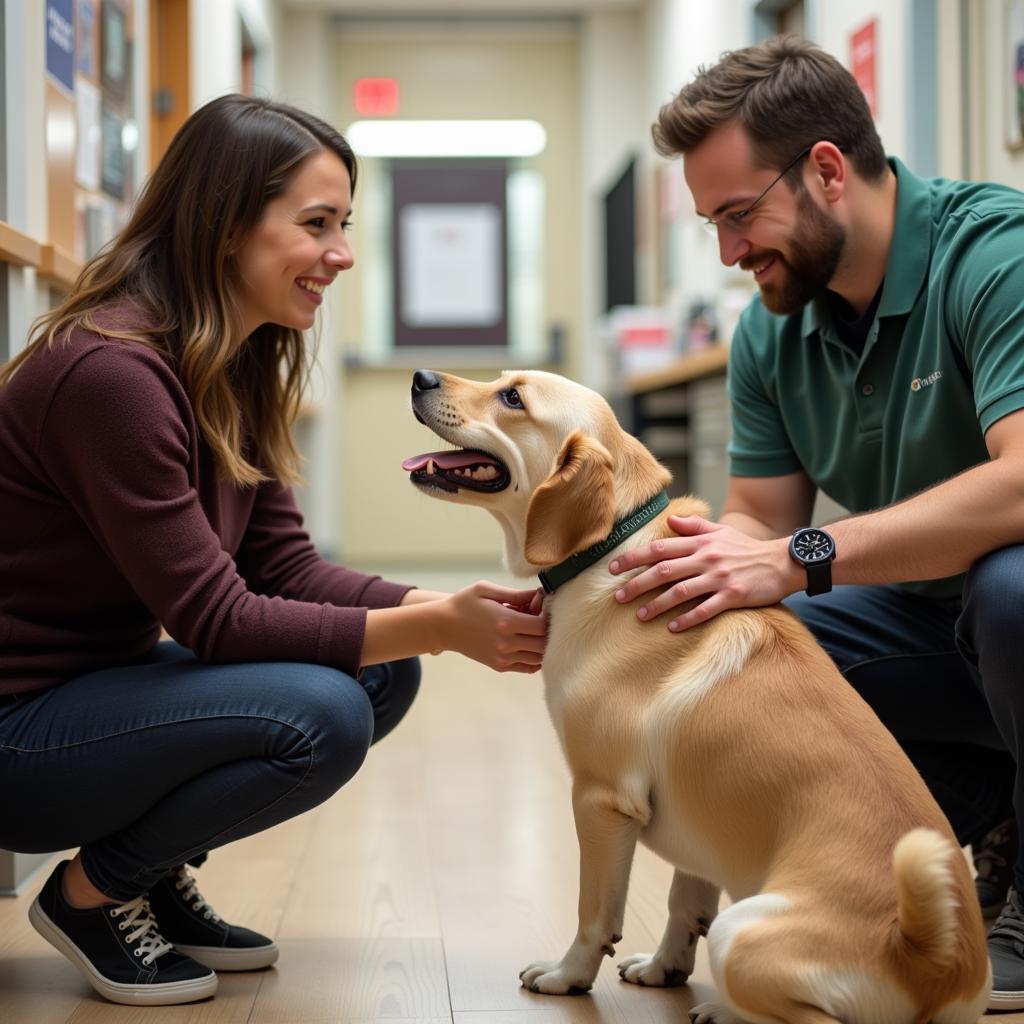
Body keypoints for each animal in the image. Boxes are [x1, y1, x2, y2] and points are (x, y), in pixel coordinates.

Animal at [401, 368, 991, 1024]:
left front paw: (568, 976)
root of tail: (929, 958)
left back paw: (724, 1012)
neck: (612, 548)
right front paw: (664, 970)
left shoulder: (601, 799)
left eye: (512, 397)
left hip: (741, 932)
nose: (421, 376)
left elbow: (593, 915)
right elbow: (684, 904)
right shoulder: (698, 821)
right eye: (503, 381)